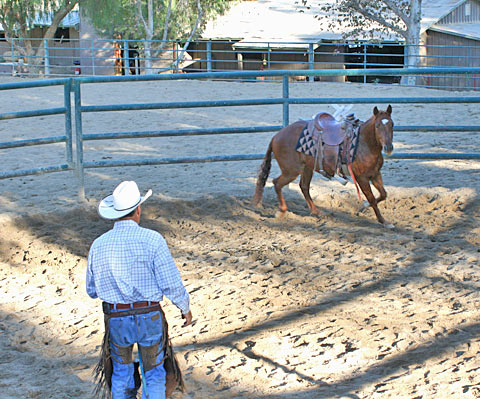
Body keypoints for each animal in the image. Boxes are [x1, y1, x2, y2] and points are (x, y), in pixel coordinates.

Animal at [253, 104, 396, 230]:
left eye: (392, 124)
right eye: (377, 126)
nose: (388, 147)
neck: (364, 143)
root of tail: (276, 136)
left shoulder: (375, 174)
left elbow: (383, 194)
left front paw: (365, 206)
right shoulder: (362, 178)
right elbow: (372, 199)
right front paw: (384, 221)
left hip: (306, 168)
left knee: (304, 186)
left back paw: (317, 212)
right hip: (291, 171)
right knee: (277, 183)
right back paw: (281, 211)